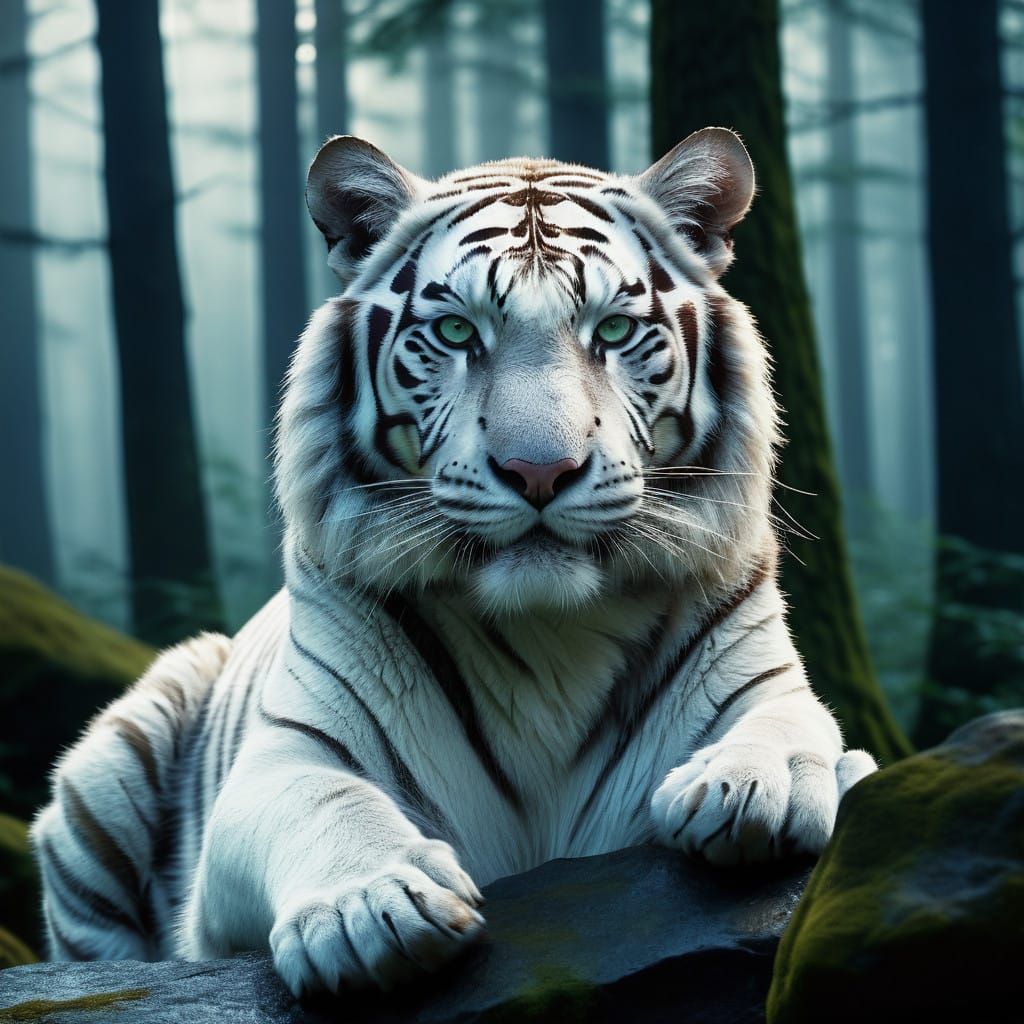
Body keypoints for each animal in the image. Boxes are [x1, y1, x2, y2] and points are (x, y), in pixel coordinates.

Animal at [31, 127, 877, 996]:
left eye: (612, 332)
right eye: (458, 334)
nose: (539, 470)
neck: (550, 635)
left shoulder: (763, 678)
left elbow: (793, 724)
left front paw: (756, 784)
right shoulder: (284, 758)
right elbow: (325, 803)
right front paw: (375, 907)